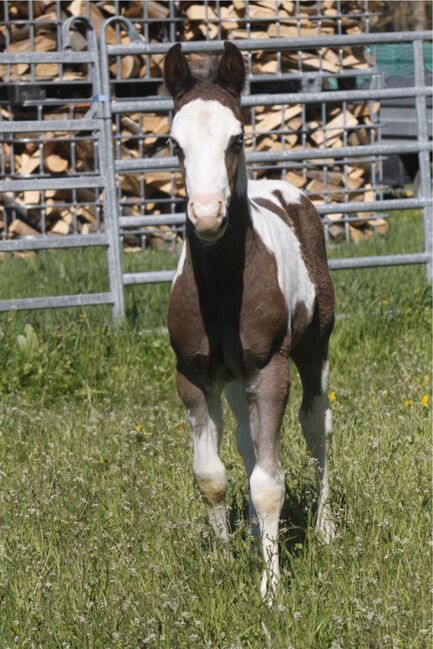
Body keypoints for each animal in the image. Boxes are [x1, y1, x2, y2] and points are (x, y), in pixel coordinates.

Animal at [164, 41, 336, 596]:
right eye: (174, 144)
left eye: (236, 137)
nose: (207, 215)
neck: (222, 290)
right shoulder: (193, 376)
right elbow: (212, 475)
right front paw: (222, 563)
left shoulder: (270, 369)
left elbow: (268, 483)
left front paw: (272, 588)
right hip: (237, 382)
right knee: (245, 442)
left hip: (313, 348)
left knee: (316, 426)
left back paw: (326, 528)